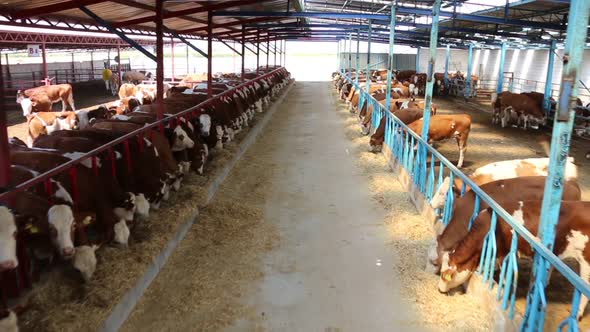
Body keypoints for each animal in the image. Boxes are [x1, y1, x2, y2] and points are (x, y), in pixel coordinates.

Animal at [442, 198, 590, 320]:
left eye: (445, 276)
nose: (440, 289)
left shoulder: (505, 253)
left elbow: (505, 276)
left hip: (586, 261)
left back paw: (577, 314)